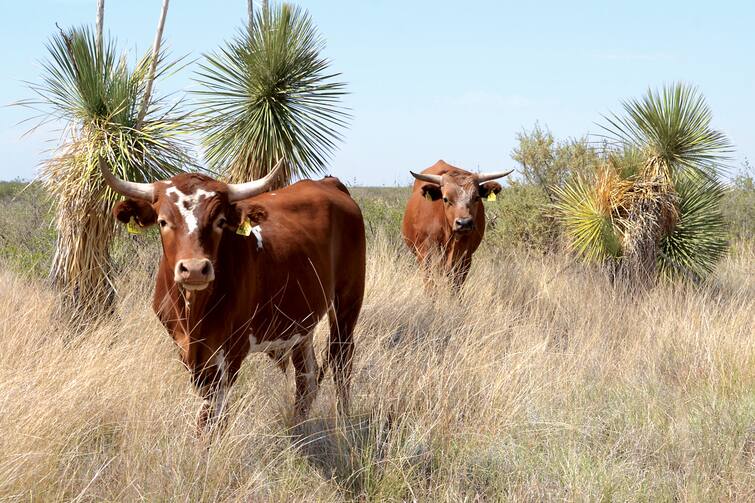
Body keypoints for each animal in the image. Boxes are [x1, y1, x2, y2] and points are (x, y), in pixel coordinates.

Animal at [99, 158, 366, 434]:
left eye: (219, 221)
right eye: (162, 221)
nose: (195, 269)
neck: (194, 314)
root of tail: (328, 183)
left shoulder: (231, 351)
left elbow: (213, 414)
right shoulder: (185, 348)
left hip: (347, 302)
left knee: (341, 361)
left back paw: (344, 424)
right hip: (301, 322)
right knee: (306, 378)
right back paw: (297, 429)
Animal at [402, 159, 512, 290]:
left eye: (476, 197)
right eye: (445, 199)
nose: (464, 223)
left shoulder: (465, 260)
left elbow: (455, 288)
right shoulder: (425, 257)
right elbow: (431, 287)